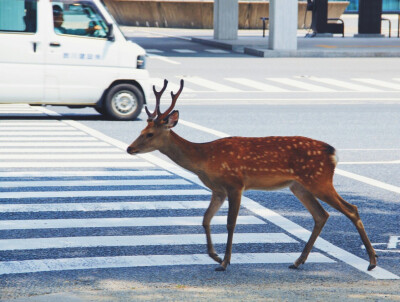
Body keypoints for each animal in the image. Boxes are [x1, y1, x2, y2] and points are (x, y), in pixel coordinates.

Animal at [126, 78, 376, 272]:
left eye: (149, 134)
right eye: (141, 130)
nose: (129, 148)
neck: (204, 159)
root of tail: (333, 153)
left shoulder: (236, 184)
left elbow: (230, 223)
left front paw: (225, 262)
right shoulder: (217, 189)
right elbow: (206, 219)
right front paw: (214, 255)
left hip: (319, 179)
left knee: (351, 209)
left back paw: (372, 261)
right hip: (299, 186)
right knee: (321, 215)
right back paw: (298, 261)